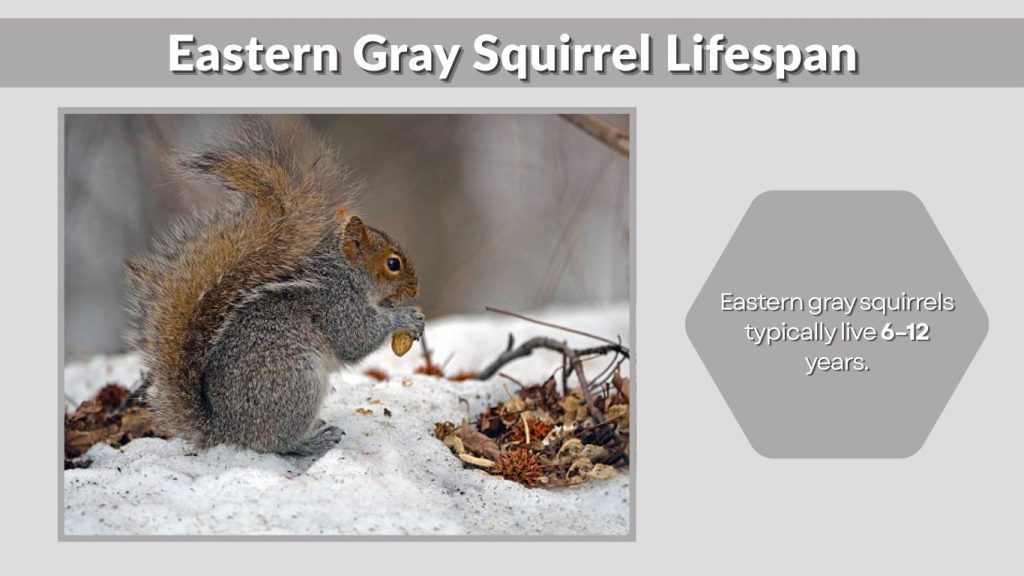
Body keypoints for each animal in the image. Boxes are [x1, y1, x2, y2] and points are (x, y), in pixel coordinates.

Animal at [124, 119, 424, 456]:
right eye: (393, 264)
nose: (415, 290)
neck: (347, 276)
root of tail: (225, 430)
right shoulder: (336, 306)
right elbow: (356, 338)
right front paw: (405, 317)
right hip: (295, 385)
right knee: (277, 444)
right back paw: (313, 441)